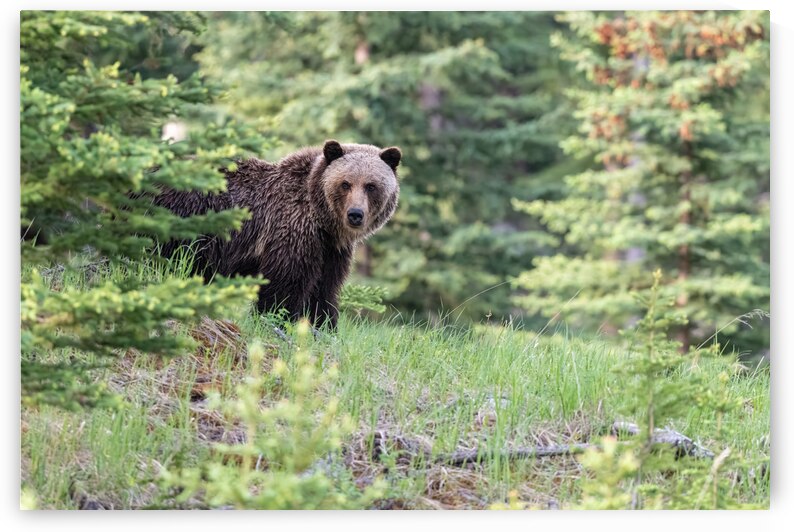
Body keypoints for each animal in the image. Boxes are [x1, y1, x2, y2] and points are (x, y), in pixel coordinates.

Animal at [153, 140, 401, 330]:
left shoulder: (330, 250)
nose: (355, 214)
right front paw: (277, 320)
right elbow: (285, 285)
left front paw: (324, 326)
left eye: (371, 185)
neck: (323, 221)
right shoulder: (291, 230)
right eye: (345, 183)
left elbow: (324, 289)